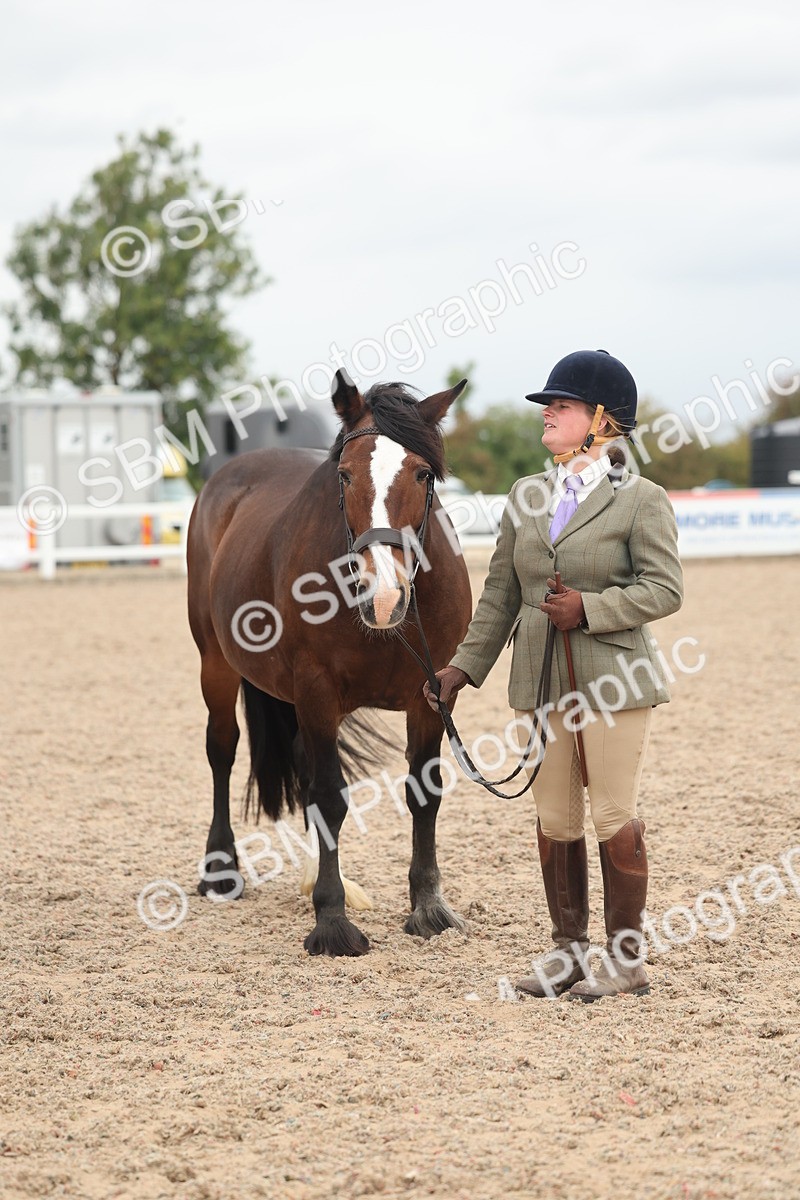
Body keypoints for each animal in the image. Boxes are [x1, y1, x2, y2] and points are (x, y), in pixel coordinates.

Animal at [186, 370, 473, 956]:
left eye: (423, 473)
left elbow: (424, 793)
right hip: (216, 664)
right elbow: (328, 797)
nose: (382, 595)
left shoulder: (433, 696)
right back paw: (222, 869)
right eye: (343, 475)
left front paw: (428, 907)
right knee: (222, 750)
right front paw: (332, 920)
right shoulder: (316, 689)